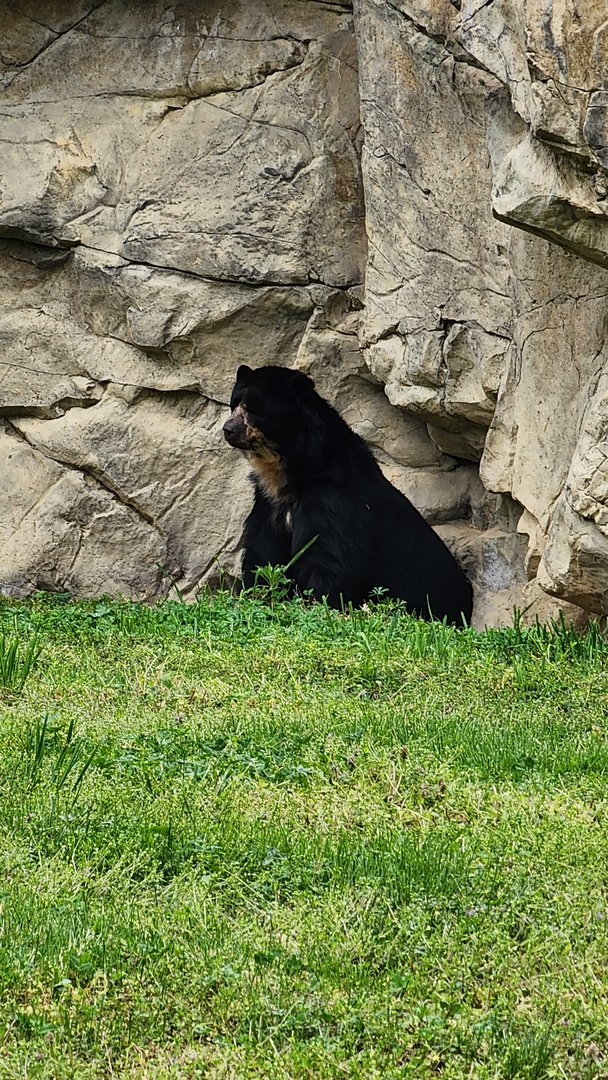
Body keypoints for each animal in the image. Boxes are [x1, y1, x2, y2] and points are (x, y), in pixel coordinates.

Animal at [223, 364, 473, 625]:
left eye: (254, 410)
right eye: (234, 404)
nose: (228, 429)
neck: (288, 473)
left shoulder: (332, 501)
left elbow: (328, 560)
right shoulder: (267, 502)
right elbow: (263, 553)